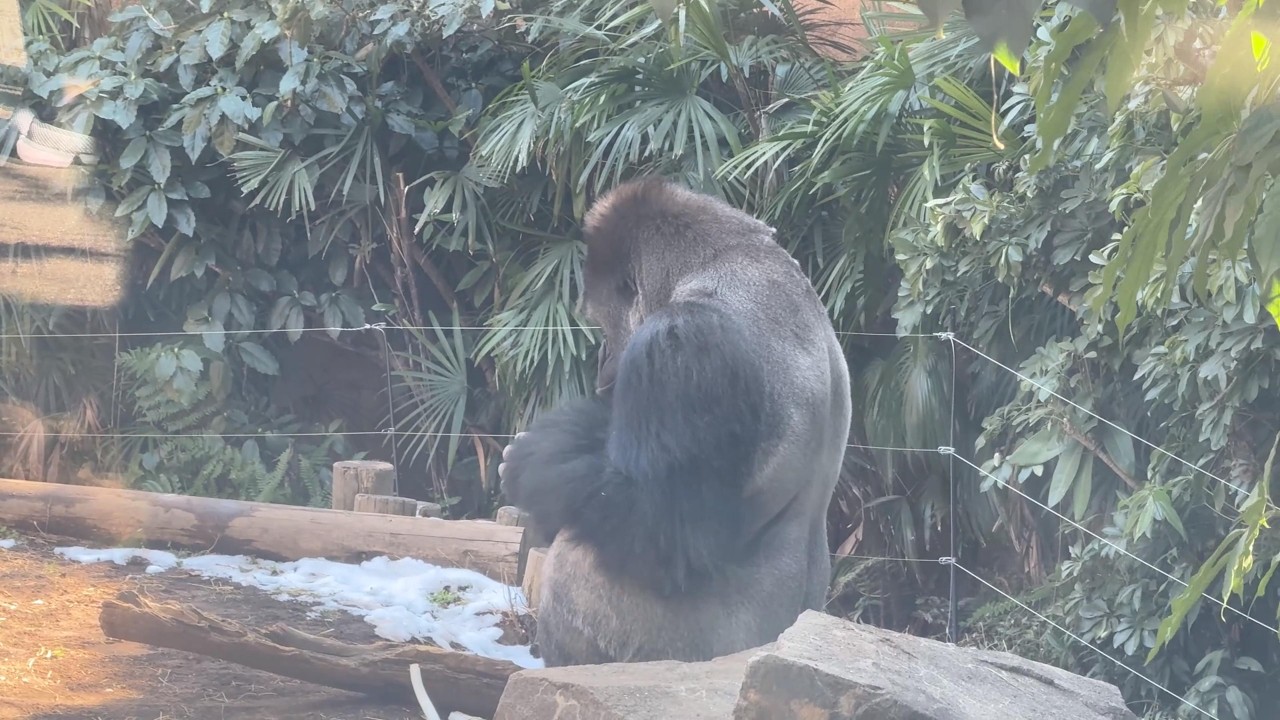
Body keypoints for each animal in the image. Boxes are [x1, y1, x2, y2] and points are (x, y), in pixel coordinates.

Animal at [498, 176, 852, 667]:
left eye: (602, 323)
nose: (603, 360)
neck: (731, 261)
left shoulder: (680, 342)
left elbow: (662, 534)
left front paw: (532, 461)